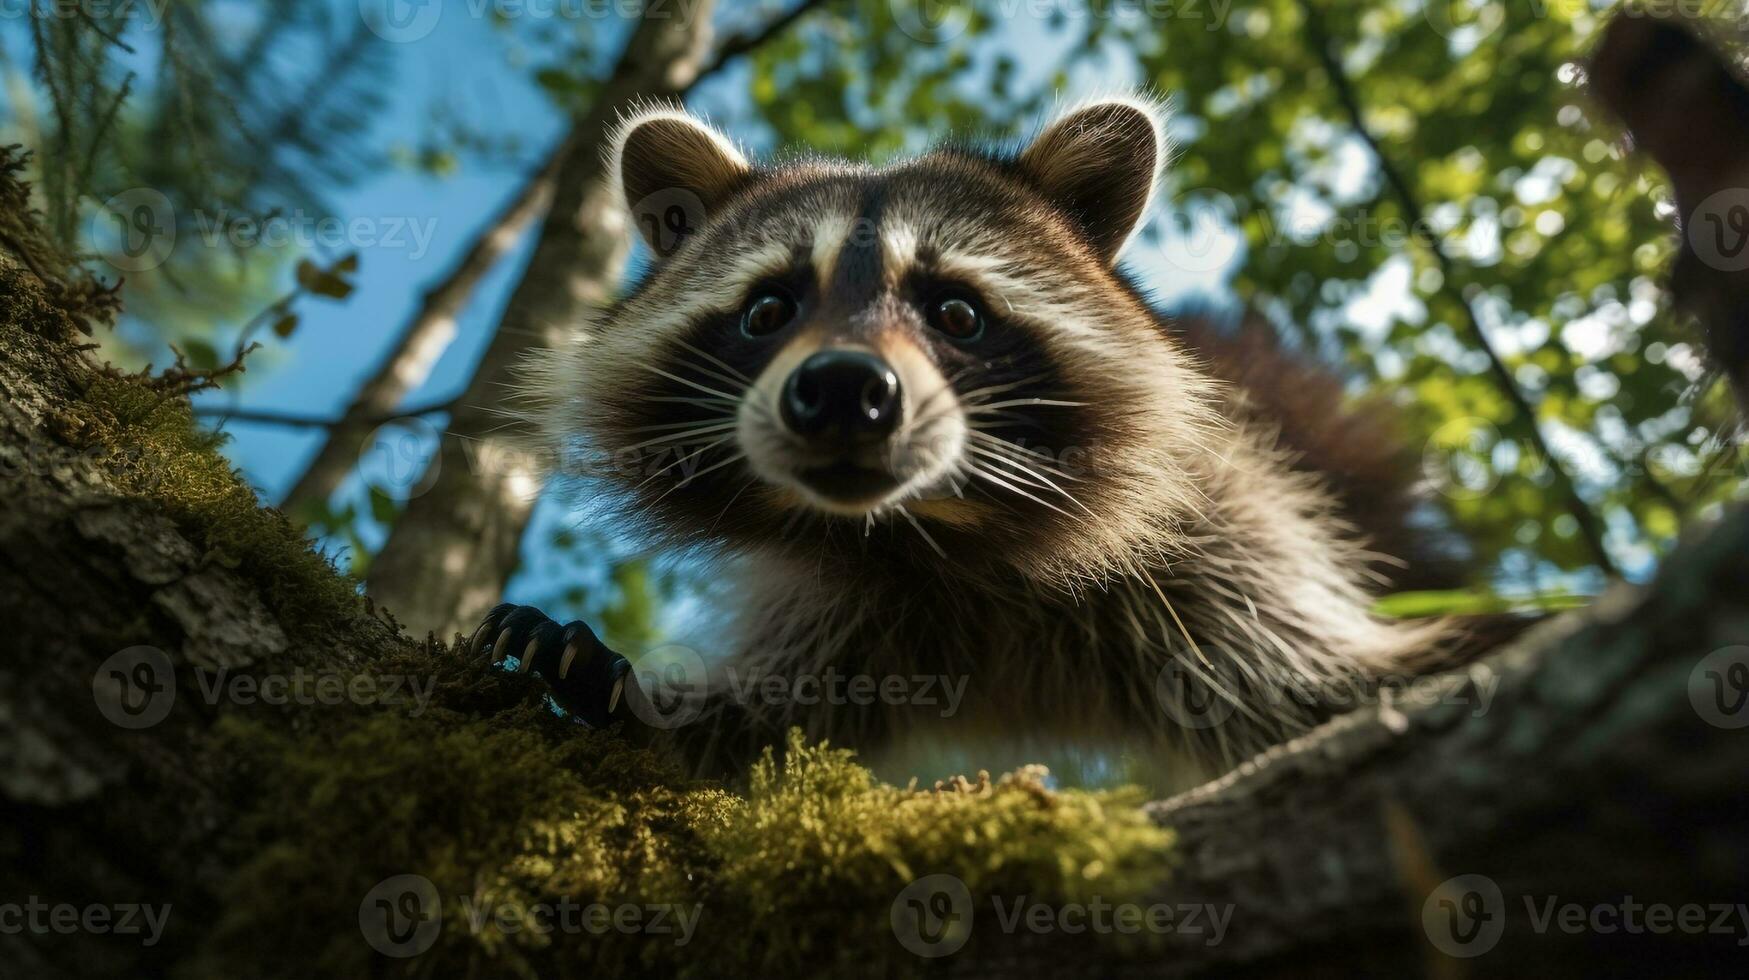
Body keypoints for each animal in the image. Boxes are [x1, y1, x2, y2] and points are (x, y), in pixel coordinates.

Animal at [475, 97, 1476, 787]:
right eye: (768, 310)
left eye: (955, 312)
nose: (842, 393)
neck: (941, 535)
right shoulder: (843, 616)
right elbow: (764, 722)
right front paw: (639, 699)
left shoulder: (1219, 536)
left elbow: (1316, 683)